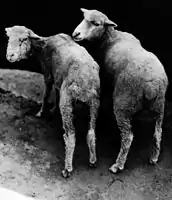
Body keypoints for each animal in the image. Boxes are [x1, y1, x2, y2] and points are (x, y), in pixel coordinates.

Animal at [5, 25, 100, 178]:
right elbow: (55, 92)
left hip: (67, 101)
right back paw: (92, 160)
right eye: (9, 38)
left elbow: (46, 94)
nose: (10, 56)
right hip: (94, 103)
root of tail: (85, 80)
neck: (42, 45)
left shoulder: (48, 73)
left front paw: (41, 112)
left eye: (24, 39)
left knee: (70, 136)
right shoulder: (57, 78)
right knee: (91, 132)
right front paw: (53, 109)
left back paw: (67, 169)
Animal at [72, 8, 169, 173]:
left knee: (128, 136)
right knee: (158, 133)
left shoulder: (105, 76)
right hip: (159, 107)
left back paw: (118, 165)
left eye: (96, 23)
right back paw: (154, 158)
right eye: (83, 18)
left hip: (123, 102)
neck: (111, 37)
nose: (76, 34)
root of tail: (152, 85)